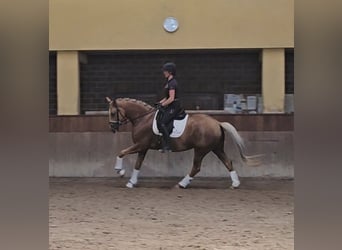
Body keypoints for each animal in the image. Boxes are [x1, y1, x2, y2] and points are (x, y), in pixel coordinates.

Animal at [105, 96, 258, 188]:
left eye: (112, 113)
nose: (112, 128)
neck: (142, 118)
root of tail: (217, 123)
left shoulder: (140, 145)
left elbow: (121, 152)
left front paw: (120, 171)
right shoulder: (143, 148)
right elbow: (138, 164)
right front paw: (132, 182)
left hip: (201, 149)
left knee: (196, 167)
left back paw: (182, 184)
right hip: (217, 148)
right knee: (228, 162)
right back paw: (235, 183)